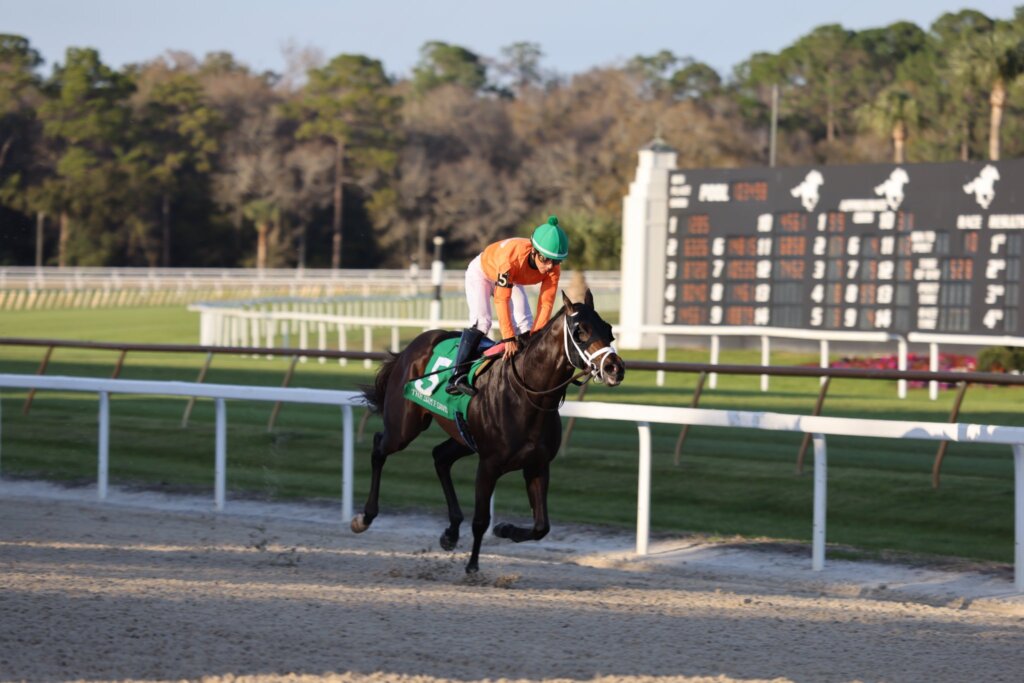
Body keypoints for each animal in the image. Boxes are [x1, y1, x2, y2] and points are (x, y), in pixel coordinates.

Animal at [352, 286, 622, 573]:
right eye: (580, 330)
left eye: (608, 329)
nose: (615, 368)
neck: (528, 396)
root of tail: (410, 348)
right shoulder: (489, 464)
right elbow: (481, 520)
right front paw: (472, 566)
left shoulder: (537, 464)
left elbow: (541, 527)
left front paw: (504, 529)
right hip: (404, 426)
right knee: (379, 446)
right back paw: (364, 517)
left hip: (462, 437)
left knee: (440, 457)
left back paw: (451, 532)